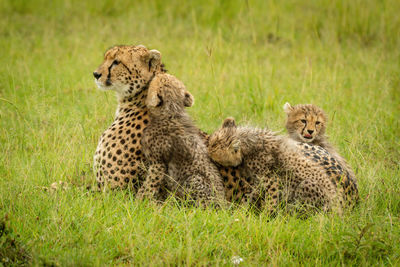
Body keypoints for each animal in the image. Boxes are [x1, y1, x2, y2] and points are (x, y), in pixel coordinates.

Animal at [138, 74, 227, 207]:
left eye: (158, 80)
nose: (158, 74)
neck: (171, 110)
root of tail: (223, 206)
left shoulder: (157, 164)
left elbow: (150, 183)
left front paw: (140, 200)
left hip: (194, 180)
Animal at [208, 117, 354, 214]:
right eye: (211, 143)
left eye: (213, 148)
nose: (207, 152)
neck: (250, 139)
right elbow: (250, 194)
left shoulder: (272, 180)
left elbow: (271, 200)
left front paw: (265, 218)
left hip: (307, 186)